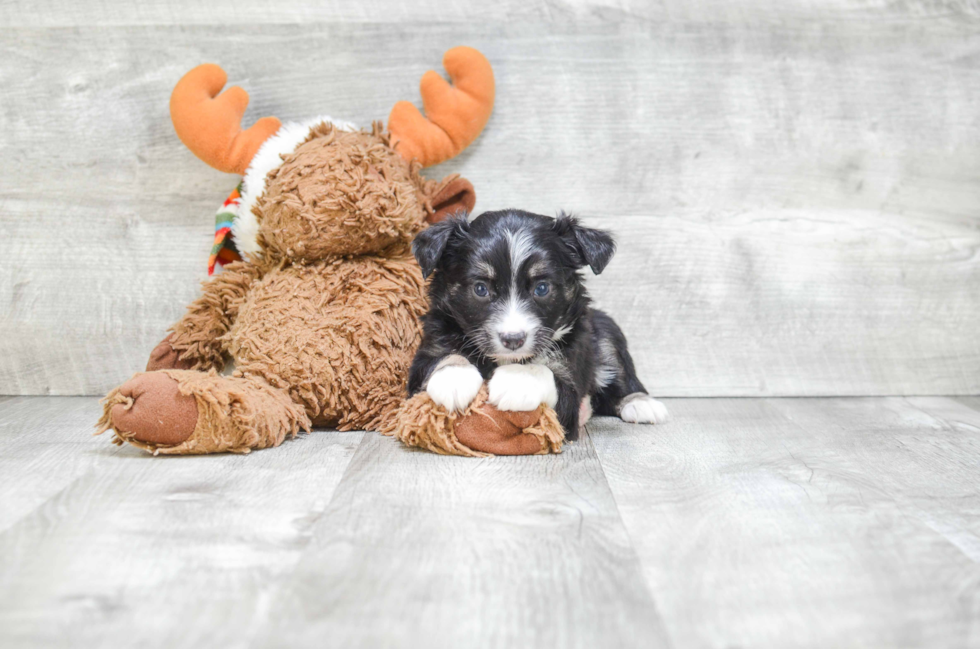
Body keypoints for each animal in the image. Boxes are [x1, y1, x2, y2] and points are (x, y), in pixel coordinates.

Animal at [406, 208, 668, 440]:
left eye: (541, 288)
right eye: (480, 289)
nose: (513, 340)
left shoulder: (570, 382)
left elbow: (541, 371)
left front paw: (515, 381)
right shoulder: (429, 350)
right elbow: (444, 357)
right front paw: (454, 379)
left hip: (607, 332)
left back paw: (641, 404)